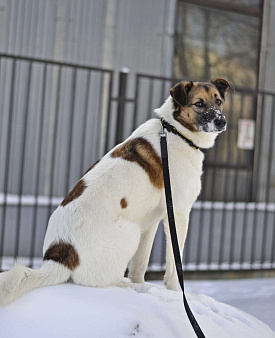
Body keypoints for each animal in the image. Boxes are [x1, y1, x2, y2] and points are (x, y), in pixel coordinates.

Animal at [0, 78, 233, 304]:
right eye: (199, 103)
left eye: (218, 101)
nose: (221, 121)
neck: (174, 130)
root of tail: (60, 255)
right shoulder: (178, 214)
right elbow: (175, 263)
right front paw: (176, 292)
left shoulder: (150, 223)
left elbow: (139, 265)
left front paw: (141, 285)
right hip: (130, 231)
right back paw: (122, 286)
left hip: (137, 230)